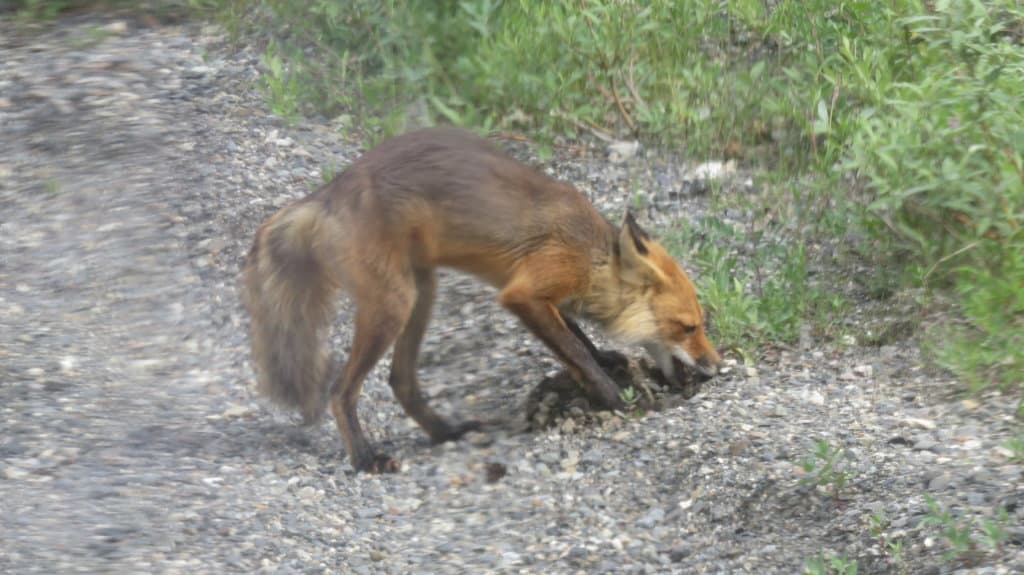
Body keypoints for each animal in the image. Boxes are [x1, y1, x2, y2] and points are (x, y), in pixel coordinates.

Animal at [239, 127, 720, 472]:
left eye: (703, 323)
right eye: (688, 327)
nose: (716, 367)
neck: (593, 256)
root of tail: (323, 195)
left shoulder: (545, 293)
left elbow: (578, 339)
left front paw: (607, 361)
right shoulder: (526, 291)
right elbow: (575, 351)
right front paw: (615, 398)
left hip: (421, 295)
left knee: (401, 382)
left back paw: (445, 433)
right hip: (394, 303)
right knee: (341, 392)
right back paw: (365, 458)